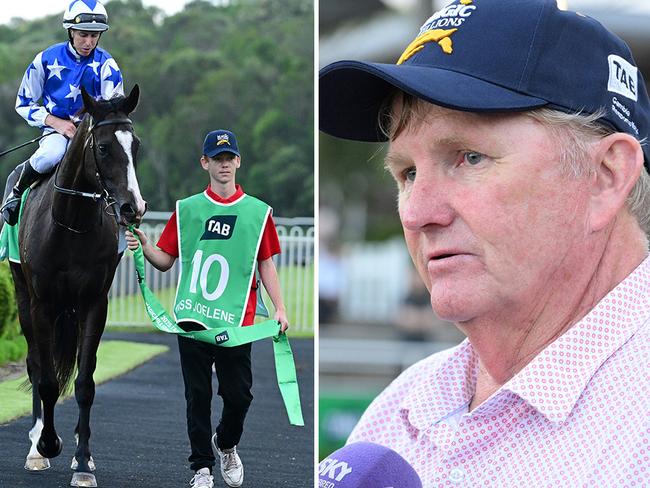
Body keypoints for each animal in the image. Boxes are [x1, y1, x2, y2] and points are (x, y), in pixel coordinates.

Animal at [10, 86, 145, 486]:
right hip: (22, 296)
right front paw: (46, 444)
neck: (70, 225)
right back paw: (36, 444)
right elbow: (46, 379)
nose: (133, 207)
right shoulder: (41, 303)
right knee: (35, 363)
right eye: (102, 147)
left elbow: (85, 382)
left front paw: (83, 461)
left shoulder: (94, 303)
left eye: (135, 145)